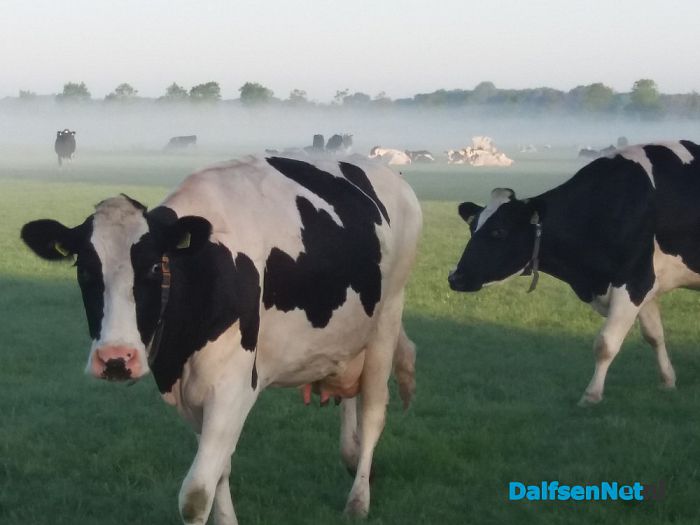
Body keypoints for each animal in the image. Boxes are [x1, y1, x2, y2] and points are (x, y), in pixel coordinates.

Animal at [20, 155, 422, 524]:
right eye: (84, 270)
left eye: (152, 267)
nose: (116, 359)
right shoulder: (191, 394)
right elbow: (219, 472)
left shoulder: (233, 387)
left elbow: (197, 493)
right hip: (348, 335)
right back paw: (351, 457)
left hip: (388, 316)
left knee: (373, 410)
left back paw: (359, 498)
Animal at [448, 141, 700, 407]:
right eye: (472, 228)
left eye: (499, 231)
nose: (455, 277)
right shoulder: (646, 286)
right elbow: (654, 335)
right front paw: (668, 381)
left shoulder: (634, 281)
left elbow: (606, 343)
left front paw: (591, 395)